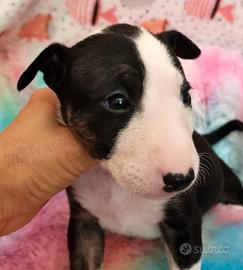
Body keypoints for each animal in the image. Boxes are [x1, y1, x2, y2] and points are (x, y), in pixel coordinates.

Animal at [17, 23, 243, 270]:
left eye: (185, 94)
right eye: (117, 102)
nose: (182, 179)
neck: (115, 184)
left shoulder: (184, 223)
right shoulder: (85, 224)